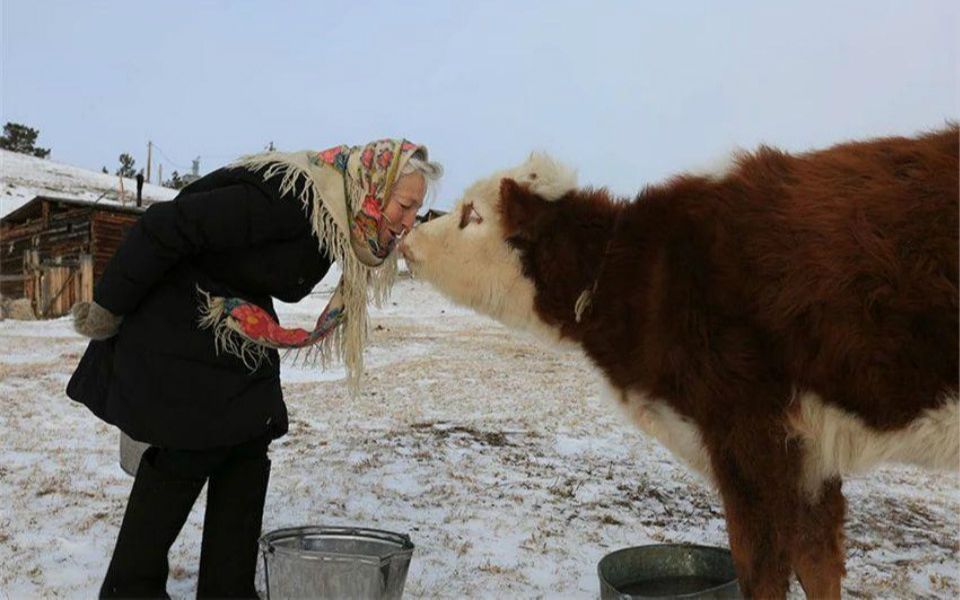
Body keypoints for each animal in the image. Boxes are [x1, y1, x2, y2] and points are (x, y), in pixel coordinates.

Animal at [402, 125, 960, 596]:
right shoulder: (809, 453)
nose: (410, 233)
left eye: (472, 214)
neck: (642, 277)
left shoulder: (750, 435)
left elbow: (764, 569)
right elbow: (818, 563)